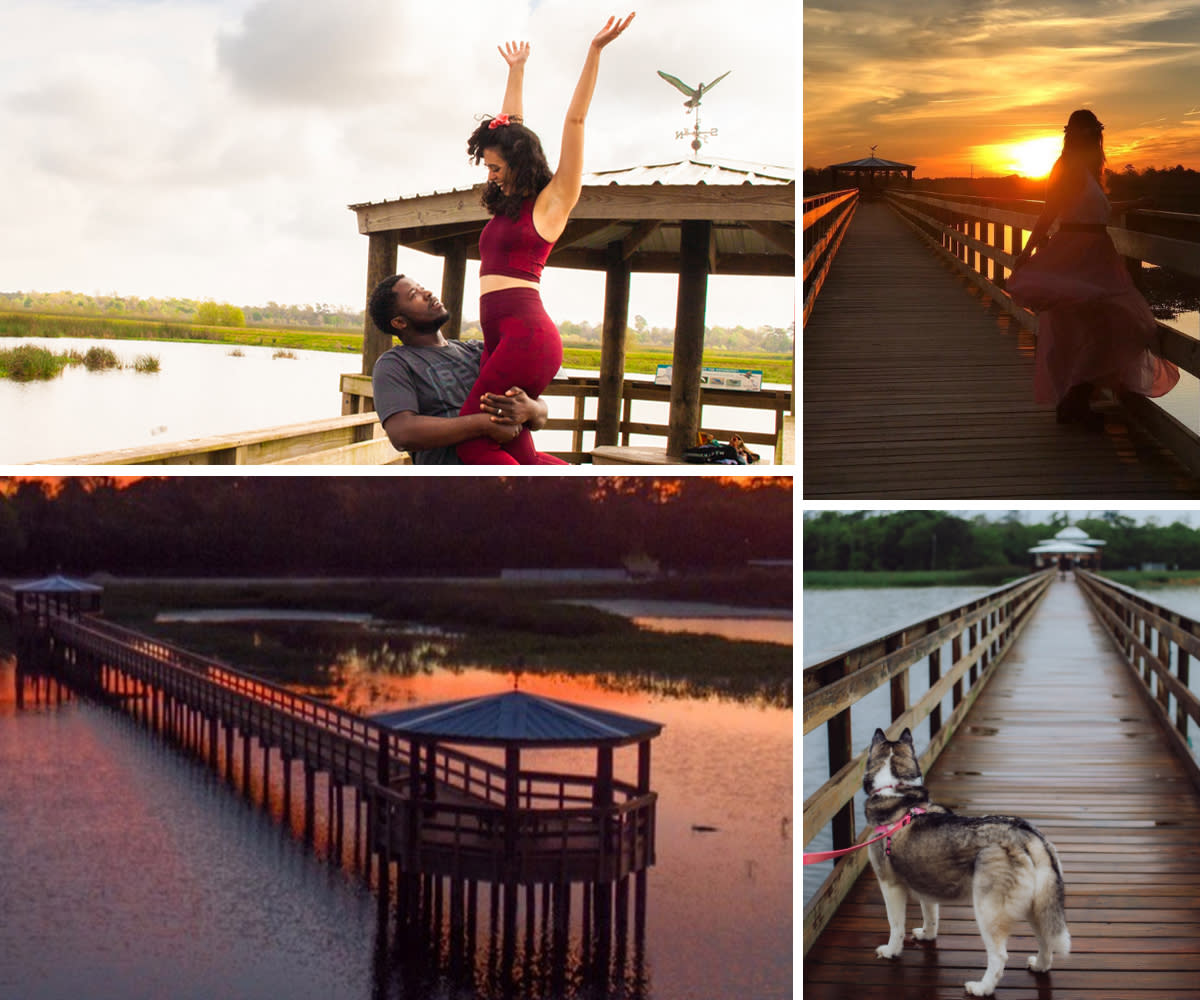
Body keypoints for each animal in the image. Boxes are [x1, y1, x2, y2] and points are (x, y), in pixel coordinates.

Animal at [864, 725, 1070, 998]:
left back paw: (982, 988)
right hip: (1037, 906)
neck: (896, 794)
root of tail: (1029, 835)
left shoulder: (890, 886)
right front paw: (927, 935)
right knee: (1046, 939)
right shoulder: (926, 885)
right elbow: (931, 916)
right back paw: (1040, 966)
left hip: (987, 910)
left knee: (999, 957)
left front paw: (890, 951)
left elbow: (895, 926)